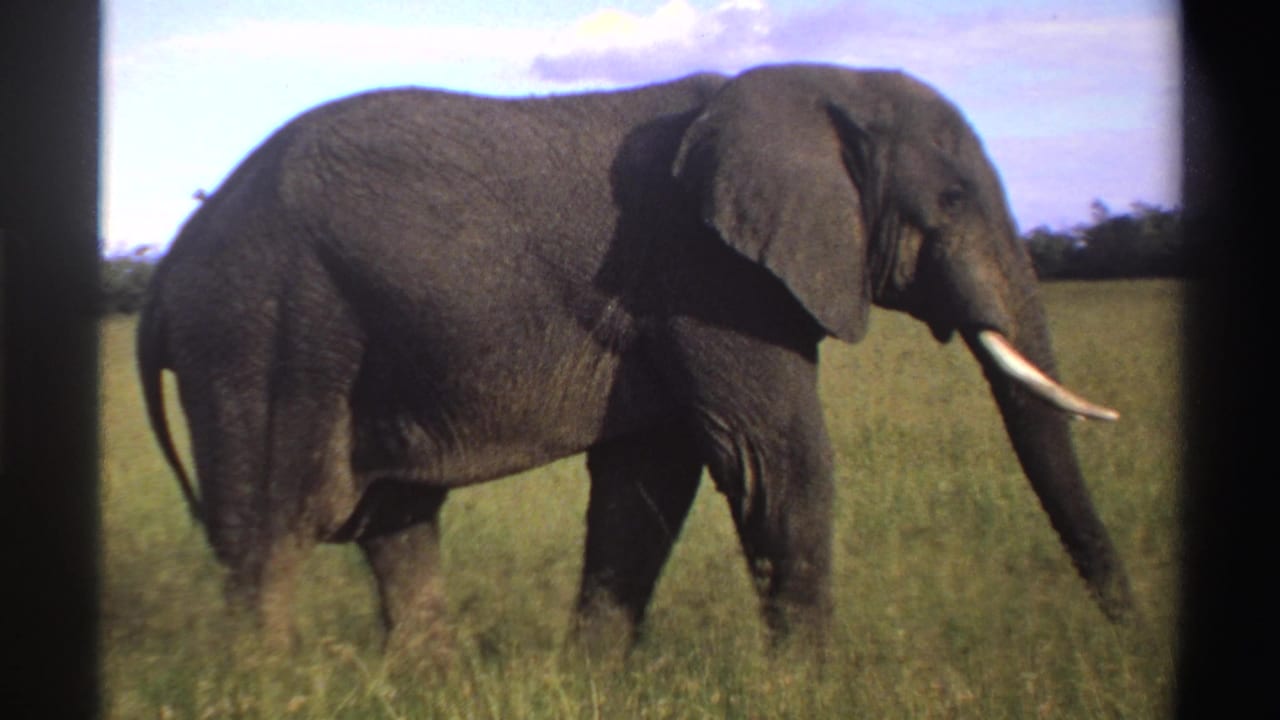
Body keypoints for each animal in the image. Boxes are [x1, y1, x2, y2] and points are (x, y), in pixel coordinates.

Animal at [138, 63, 1132, 659]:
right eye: (954, 198)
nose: (1128, 635)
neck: (816, 84)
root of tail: (169, 268)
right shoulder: (711, 275)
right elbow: (777, 463)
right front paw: (812, 687)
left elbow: (647, 485)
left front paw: (589, 681)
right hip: (263, 330)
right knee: (270, 535)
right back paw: (271, 685)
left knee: (395, 524)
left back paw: (431, 683)